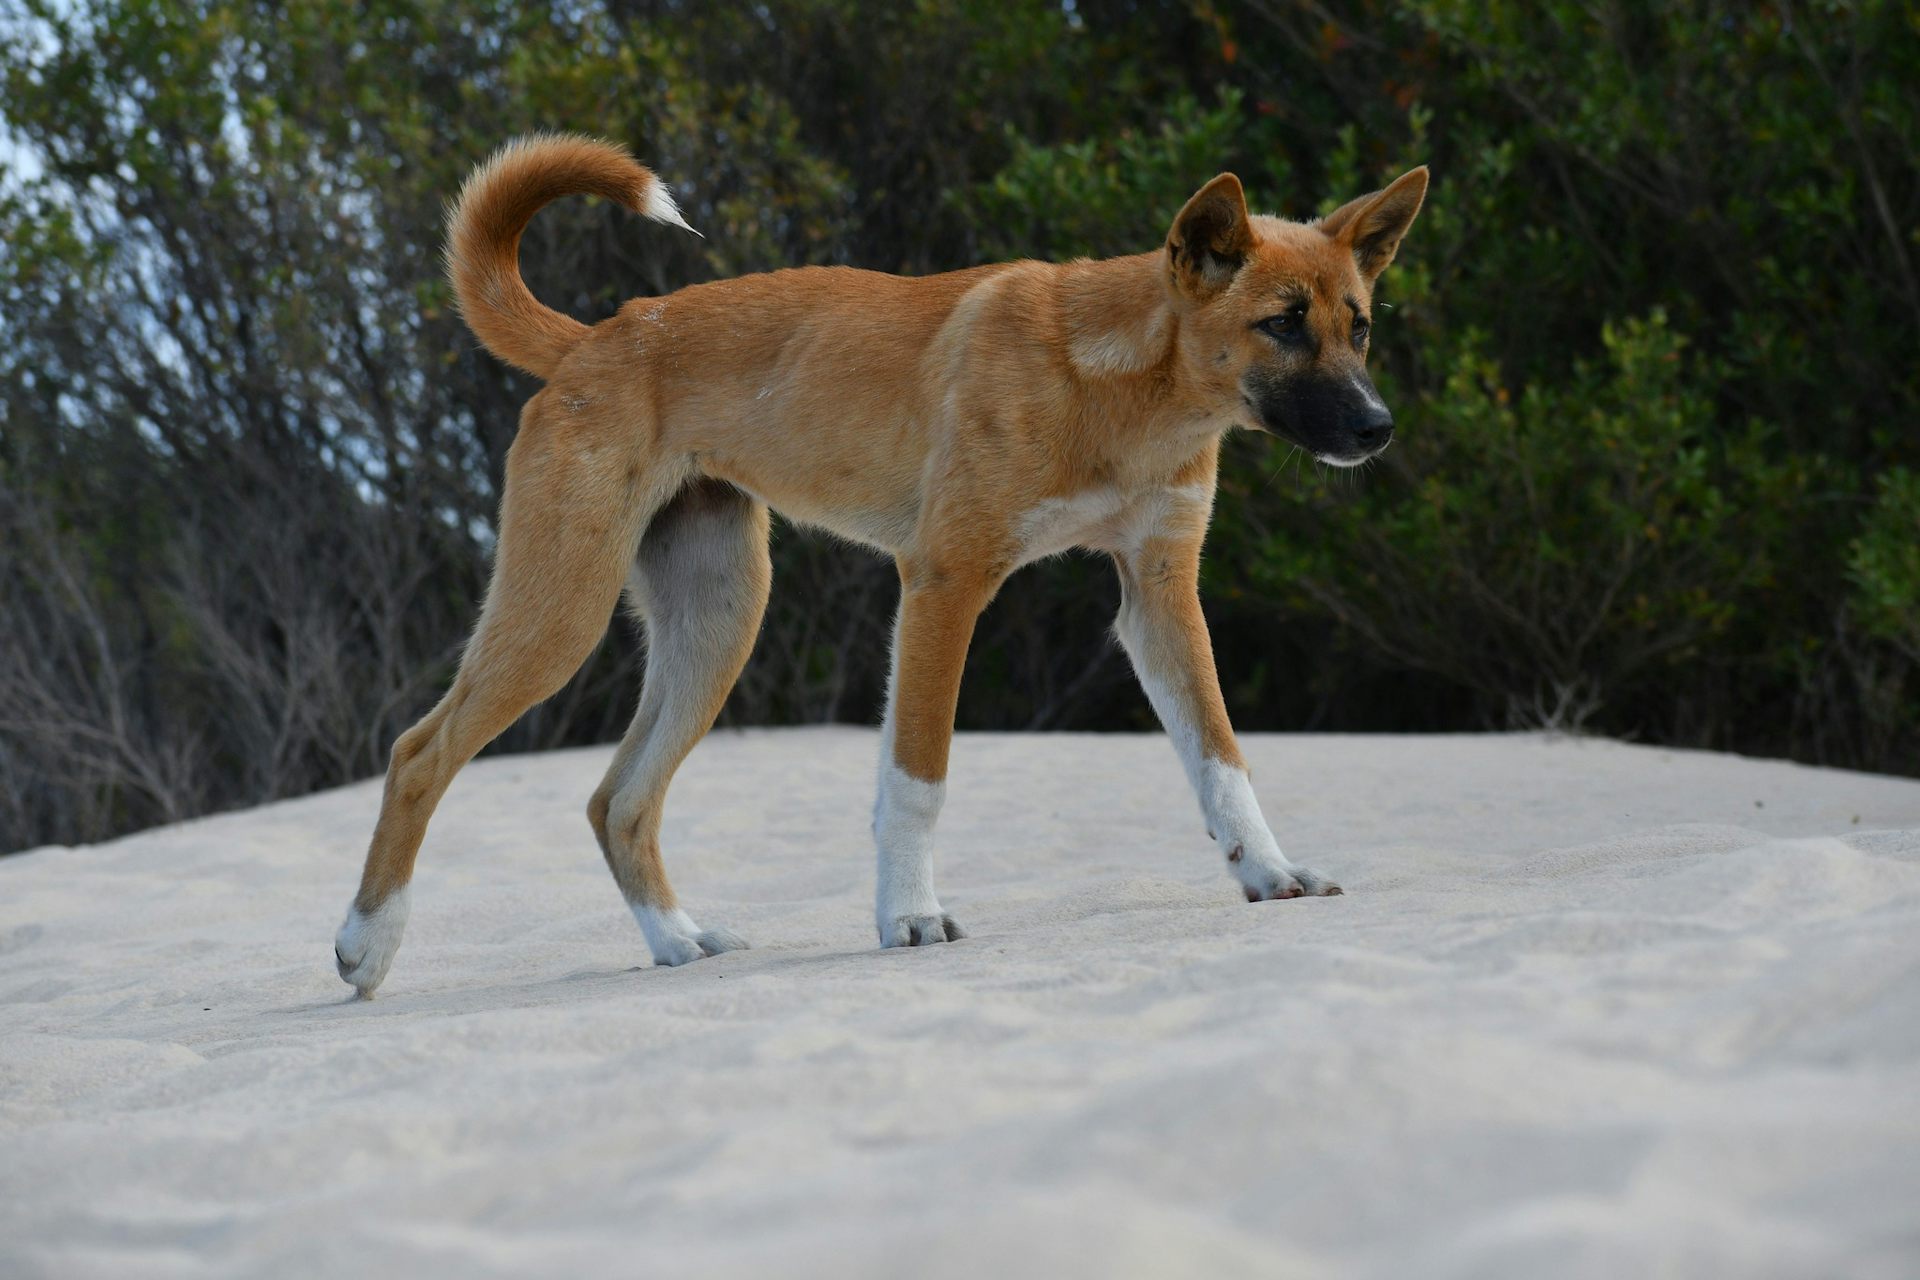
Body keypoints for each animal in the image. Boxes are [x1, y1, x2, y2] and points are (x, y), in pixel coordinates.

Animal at [334, 135, 1428, 997]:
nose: (1377, 430)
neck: (1114, 379)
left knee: (619, 800)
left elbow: (1221, 759)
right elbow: (919, 776)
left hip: (717, 621)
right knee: (419, 754)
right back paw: (367, 944)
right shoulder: (944, 582)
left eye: (1360, 324)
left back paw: (676, 941)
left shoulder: (1160, 594)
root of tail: (592, 339)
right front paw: (909, 917)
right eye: (1281, 323)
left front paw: (1269, 872)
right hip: (562, 612)